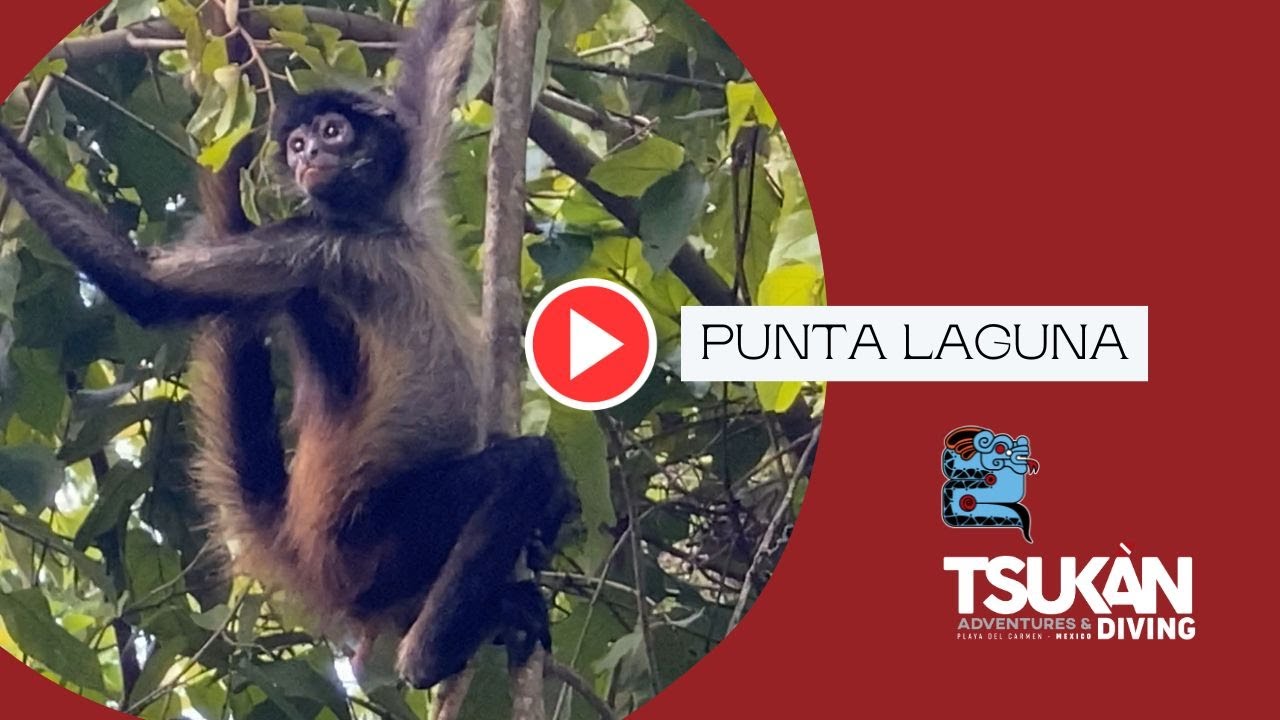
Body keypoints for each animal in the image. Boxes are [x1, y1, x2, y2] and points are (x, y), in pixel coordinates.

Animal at [0, 0, 568, 689]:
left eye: (330, 132)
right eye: (297, 145)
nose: (306, 157)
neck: (377, 232)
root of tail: (302, 551)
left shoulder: (401, 179)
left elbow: (440, 36)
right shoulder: (311, 247)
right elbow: (149, 287)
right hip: (374, 544)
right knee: (525, 465)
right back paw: (425, 657)